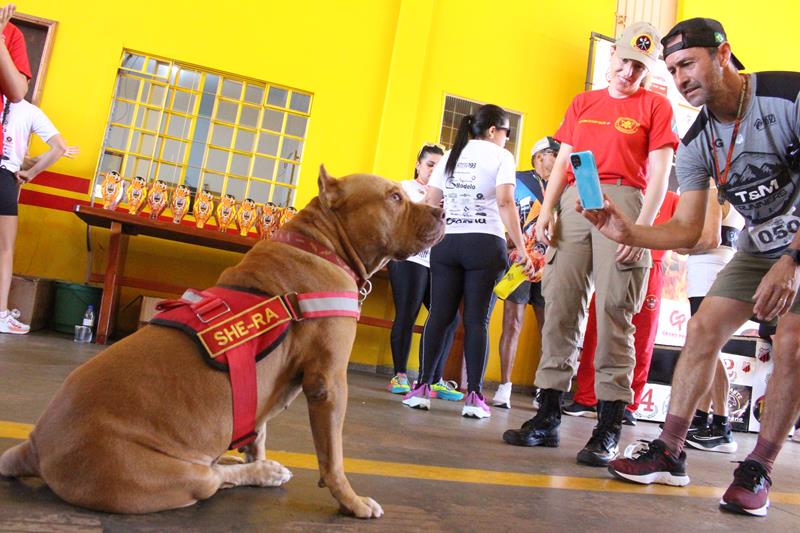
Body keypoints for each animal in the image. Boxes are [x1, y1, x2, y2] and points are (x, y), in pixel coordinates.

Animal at [0, 165, 444, 516]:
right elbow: (332, 458)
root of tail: (35, 447)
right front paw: (351, 502)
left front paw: (258, 452)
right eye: (394, 196)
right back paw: (257, 472)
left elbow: (259, 431)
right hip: (174, 475)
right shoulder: (329, 384)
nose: (443, 211)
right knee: (213, 478)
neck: (321, 244)